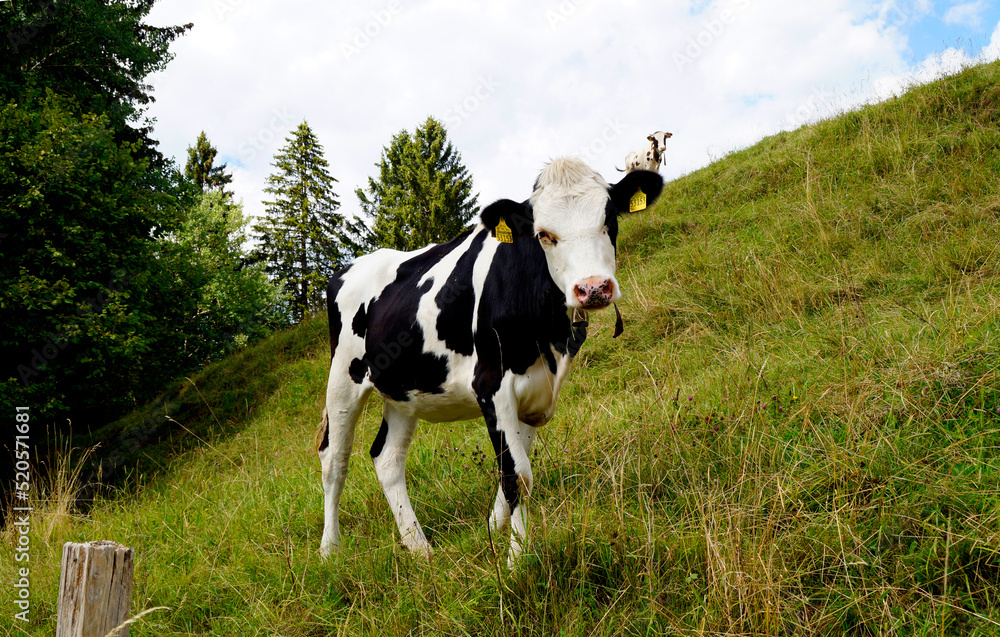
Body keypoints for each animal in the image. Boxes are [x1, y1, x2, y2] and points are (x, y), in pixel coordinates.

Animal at [314, 157, 664, 564]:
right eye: (544, 234)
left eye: (610, 220)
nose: (592, 288)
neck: (546, 333)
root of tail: (348, 268)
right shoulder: (491, 384)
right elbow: (517, 475)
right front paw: (516, 561)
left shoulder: (537, 390)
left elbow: (516, 468)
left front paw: (495, 529)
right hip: (343, 378)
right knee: (335, 461)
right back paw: (329, 549)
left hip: (403, 389)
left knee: (387, 458)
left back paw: (419, 549)